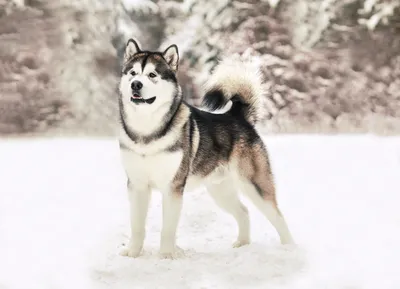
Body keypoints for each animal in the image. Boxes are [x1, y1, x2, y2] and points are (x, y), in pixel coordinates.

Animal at [118, 38, 294, 258]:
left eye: (152, 75)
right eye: (133, 73)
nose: (136, 84)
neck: (147, 131)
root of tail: (237, 115)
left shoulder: (173, 186)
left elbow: (168, 228)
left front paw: (167, 255)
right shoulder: (137, 185)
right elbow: (136, 225)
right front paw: (133, 253)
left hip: (255, 184)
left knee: (278, 215)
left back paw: (289, 247)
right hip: (220, 191)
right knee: (244, 212)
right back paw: (243, 243)